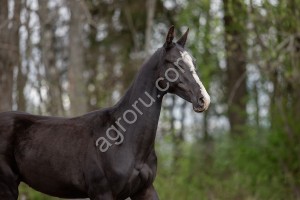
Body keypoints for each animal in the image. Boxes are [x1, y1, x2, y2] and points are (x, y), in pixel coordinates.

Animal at [0, 25, 210, 199]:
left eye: (194, 62)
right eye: (174, 63)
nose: (203, 99)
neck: (123, 137)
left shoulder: (145, 190)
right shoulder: (103, 193)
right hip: (8, 186)